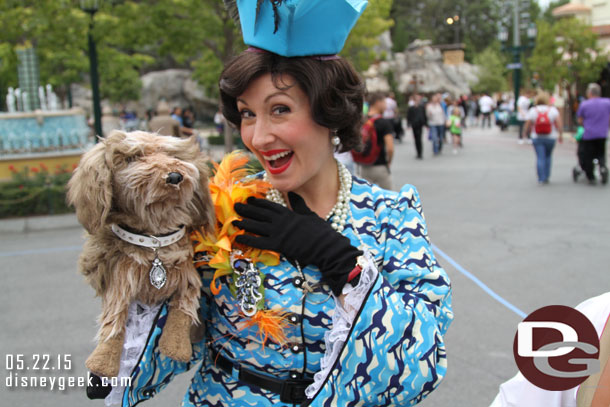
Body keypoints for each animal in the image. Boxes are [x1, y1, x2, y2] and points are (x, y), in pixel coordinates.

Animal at [66, 131, 213, 380]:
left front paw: (176, 347)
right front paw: (102, 362)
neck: (155, 242)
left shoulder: (187, 278)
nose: (175, 176)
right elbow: (114, 318)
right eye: (133, 158)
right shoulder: (121, 279)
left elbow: (182, 311)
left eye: (172, 155)